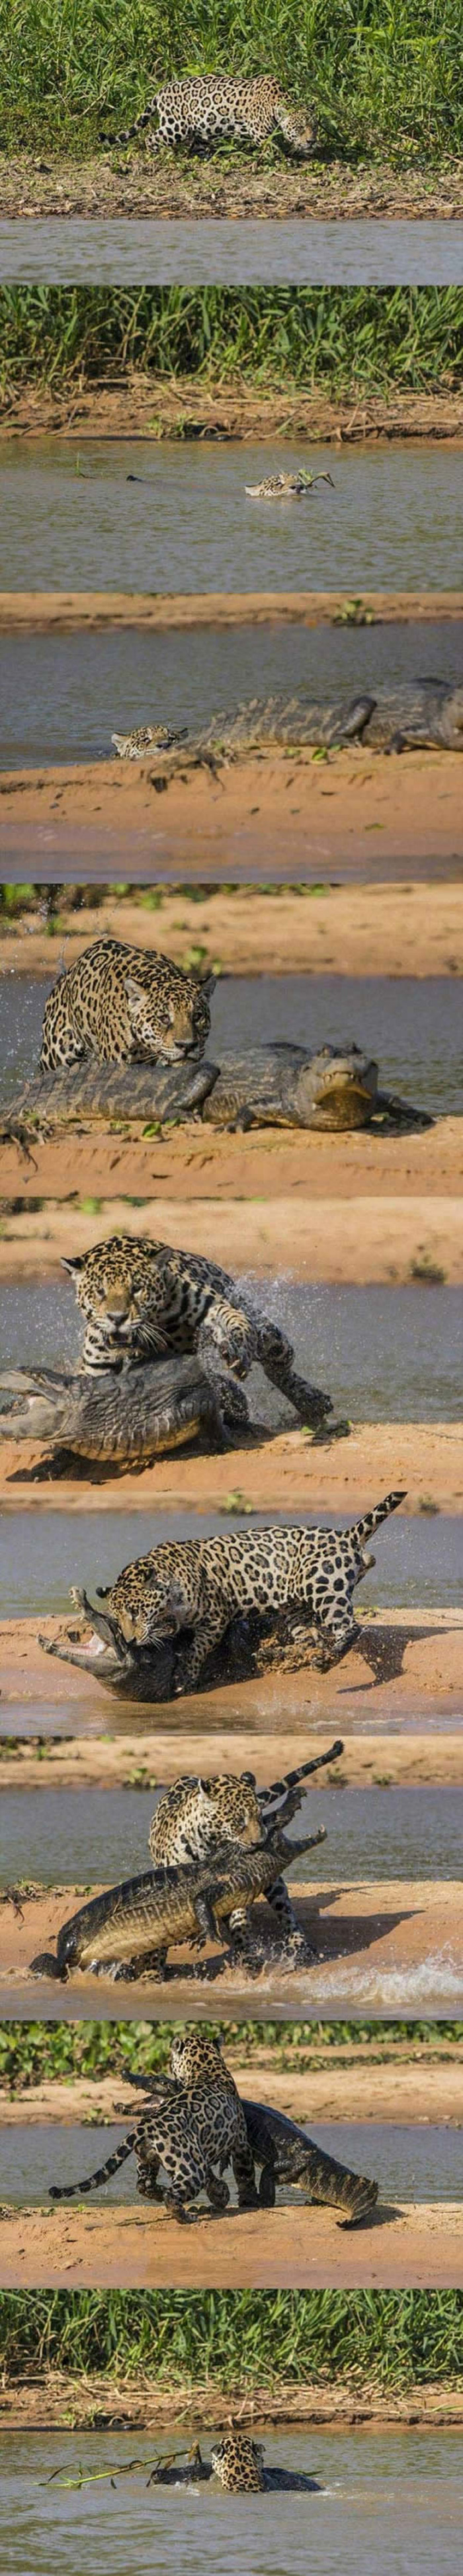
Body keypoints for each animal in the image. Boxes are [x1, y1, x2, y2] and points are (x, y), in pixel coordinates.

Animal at [48, 2030, 258, 2220]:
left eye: (158, 2078)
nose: (125, 2073)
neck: (206, 2066)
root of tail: (146, 2125)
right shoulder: (241, 2143)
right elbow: (245, 2174)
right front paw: (248, 2200)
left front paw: (221, 2193)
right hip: (190, 2167)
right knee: (172, 2194)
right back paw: (186, 2216)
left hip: (148, 2158)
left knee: (144, 2184)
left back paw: (161, 2193)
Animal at [61, 1230, 332, 1435]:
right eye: (100, 1292)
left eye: (137, 1289)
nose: (117, 1318)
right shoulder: (96, 1368)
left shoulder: (215, 1305)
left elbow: (236, 1323)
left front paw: (239, 1351)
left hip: (268, 1335)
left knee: (278, 1364)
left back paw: (312, 1402)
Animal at [93, 1490, 406, 1690]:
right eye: (117, 1617)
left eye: (135, 1612)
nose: (130, 1641)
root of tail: (347, 1535)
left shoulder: (216, 1616)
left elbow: (197, 1648)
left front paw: (185, 1677)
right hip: (295, 1606)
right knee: (309, 1639)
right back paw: (275, 1654)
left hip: (324, 1588)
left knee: (349, 1628)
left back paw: (326, 1661)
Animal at [111, 76, 317, 162]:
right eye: (299, 128)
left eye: (314, 128)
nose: (312, 141)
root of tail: (162, 90)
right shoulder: (258, 131)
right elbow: (273, 148)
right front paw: (285, 160)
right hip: (176, 127)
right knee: (151, 138)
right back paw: (160, 155)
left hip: (203, 130)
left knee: (197, 147)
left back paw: (209, 158)